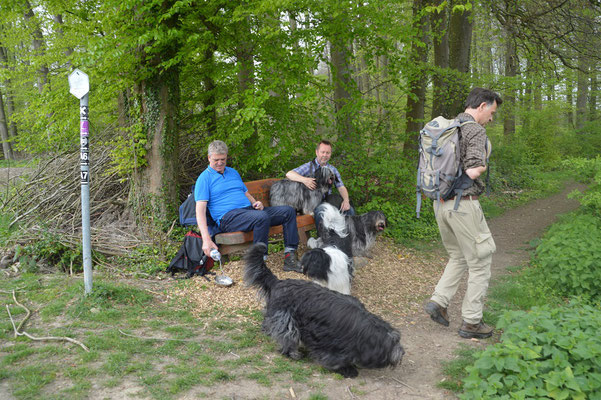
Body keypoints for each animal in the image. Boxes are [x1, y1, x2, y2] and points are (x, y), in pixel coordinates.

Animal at [243, 244, 404, 378]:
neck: (364, 331)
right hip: (286, 320)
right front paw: (347, 369)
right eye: (394, 343)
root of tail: (278, 282)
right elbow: (332, 359)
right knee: (287, 336)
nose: (402, 353)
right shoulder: (331, 343)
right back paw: (292, 353)